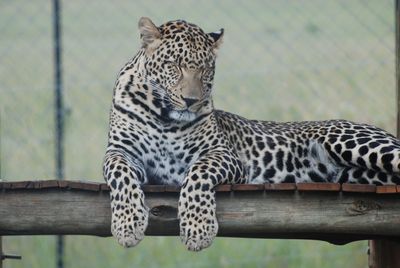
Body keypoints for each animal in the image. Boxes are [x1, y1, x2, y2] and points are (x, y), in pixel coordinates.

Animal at [102, 17, 400, 251]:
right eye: (174, 64)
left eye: (205, 69)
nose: (191, 101)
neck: (164, 117)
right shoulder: (120, 151)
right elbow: (121, 174)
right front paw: (128, 225)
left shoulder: (222, 153)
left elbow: (198, 174)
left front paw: (199, 229)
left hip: (353, 142)